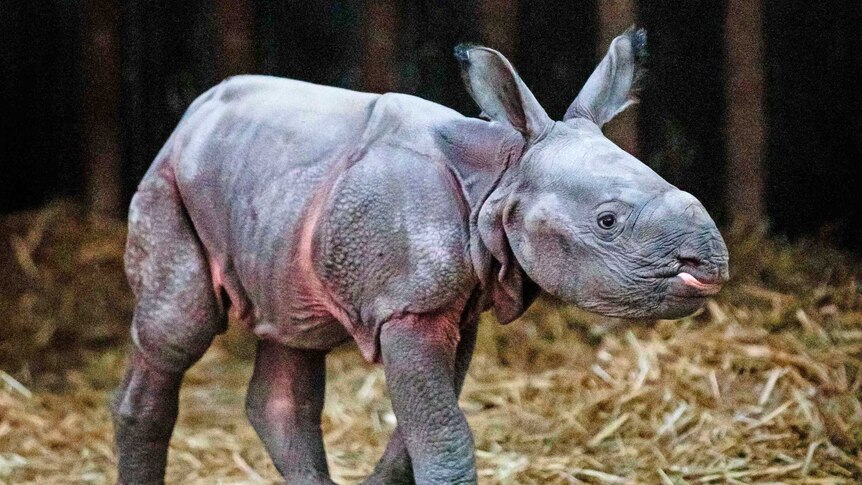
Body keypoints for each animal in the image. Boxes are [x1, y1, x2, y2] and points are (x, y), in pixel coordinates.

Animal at [113, 28, 728, 482]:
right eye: (608, 221)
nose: (710, 264)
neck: (502, 175)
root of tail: (192, 115)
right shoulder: (408, 304)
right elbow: (443, 434)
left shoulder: (456, 303)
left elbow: (421, 429)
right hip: (169, 180)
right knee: (178, 331)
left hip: (275, 196)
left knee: (292, 334)